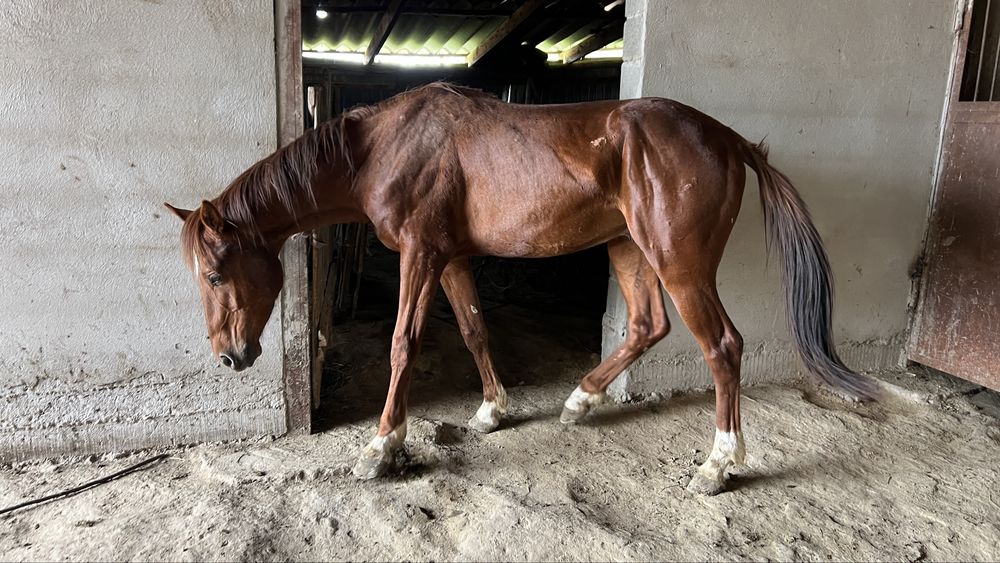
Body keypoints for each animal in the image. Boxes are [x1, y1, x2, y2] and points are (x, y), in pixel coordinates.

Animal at [165, 82, 878, 495]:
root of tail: (729, 139)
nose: (229, 357)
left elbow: (403, 344)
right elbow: (475, 328)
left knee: (723, 347)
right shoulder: (450, 259)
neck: (384, 146)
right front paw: (493, 410)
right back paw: (581, 400)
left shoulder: (420, 256)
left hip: (679, 262)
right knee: (648, 326)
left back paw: (717, 464)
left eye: (214, 273)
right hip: (630, 249)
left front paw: (382, 445)